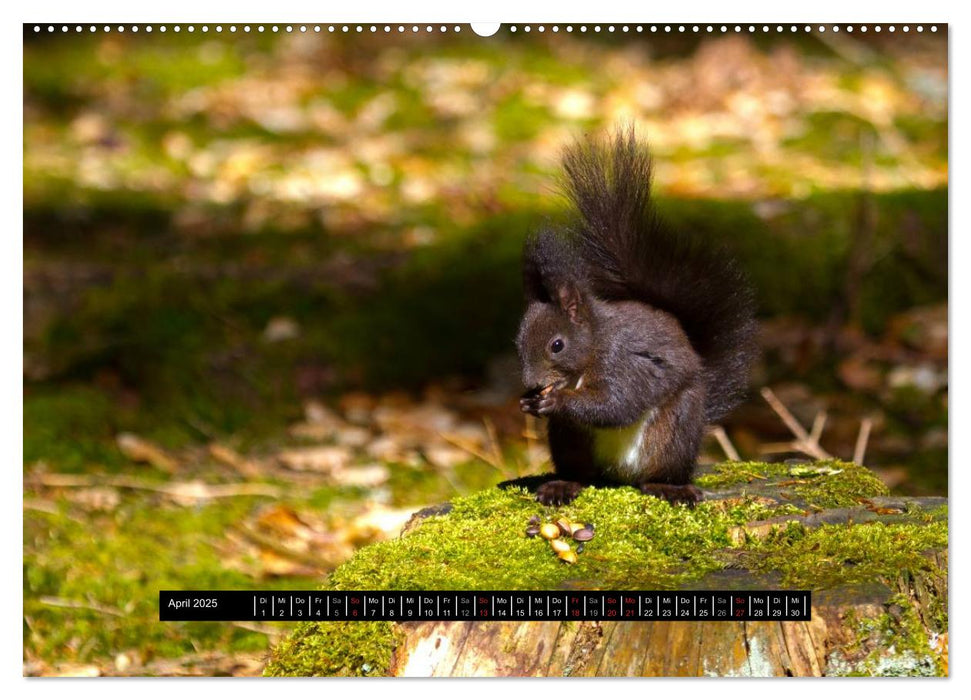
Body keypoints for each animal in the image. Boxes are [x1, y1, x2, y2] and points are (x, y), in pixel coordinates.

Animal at [516, 129, 760, 506]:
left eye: (557, 345)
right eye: (518, 341)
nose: (531, 383)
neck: (594, 346)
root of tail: (618, 475)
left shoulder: (626, 363)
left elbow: (617, 404)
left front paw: (556, 400)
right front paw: (528, 402)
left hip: (675, 429)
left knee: (659, 470)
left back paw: (669, 487)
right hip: (568, 438)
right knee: (581, 473)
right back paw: (563, 485)